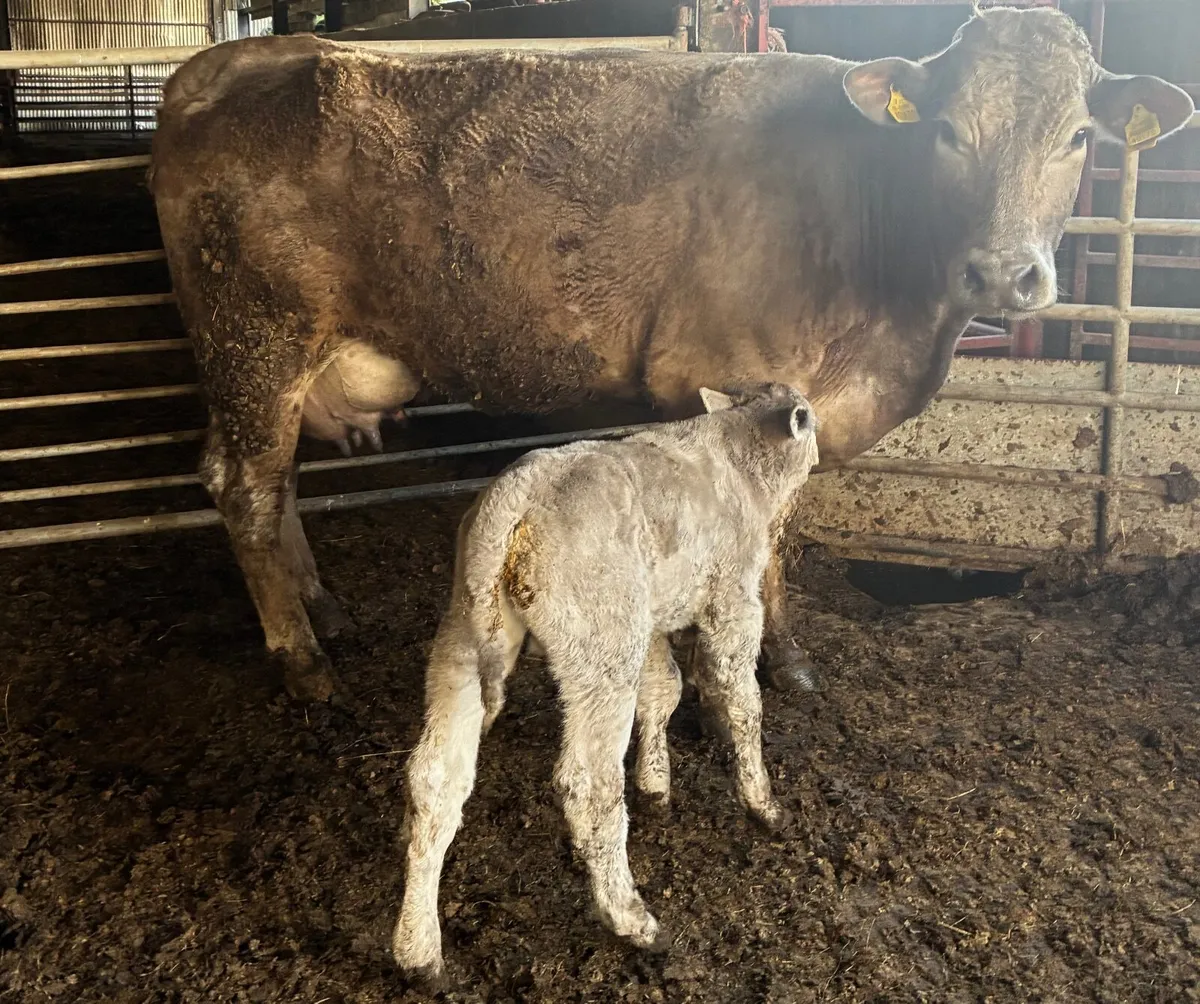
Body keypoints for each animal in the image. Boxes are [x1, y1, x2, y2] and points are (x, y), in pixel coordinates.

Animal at [148, 5, 1194, 703]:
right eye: (943, 130)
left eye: (1079, 136)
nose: (1004, 274)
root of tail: (236, 61)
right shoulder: (725, 378)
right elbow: (744, 531)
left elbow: (780, 533)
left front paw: (787, 658)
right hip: (257, 340)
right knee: (244, 485)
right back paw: (302, 660)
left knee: (272, 479)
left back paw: (321, 609)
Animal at [393, 383, 821, 983]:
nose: (820, 454)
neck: (739, 459)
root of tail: (518, 489)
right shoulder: (733, 600)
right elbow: (742, 700)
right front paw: (763, 804)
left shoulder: (654, 617)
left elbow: (663, 689)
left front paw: (656, 783)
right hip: (602, 644)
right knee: (587, 782)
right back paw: (633, 919)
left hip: (461, 641)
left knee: (436, 780)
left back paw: (418, 951)